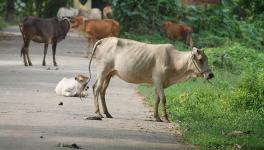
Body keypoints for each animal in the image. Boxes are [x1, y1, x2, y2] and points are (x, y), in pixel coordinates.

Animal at [86, 37, 214, 122]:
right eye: (200, 59)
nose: (210, 75)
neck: (173, 61)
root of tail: (104, 40)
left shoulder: (158, 83)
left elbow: (157, 99)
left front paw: (157, 117)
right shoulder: (158, 80)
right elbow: (163, 99)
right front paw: (166, 118)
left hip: (109, 74)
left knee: (102, 91)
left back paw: (107, 113)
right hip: (102, 70)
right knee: (96, 88)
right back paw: (98, 113)